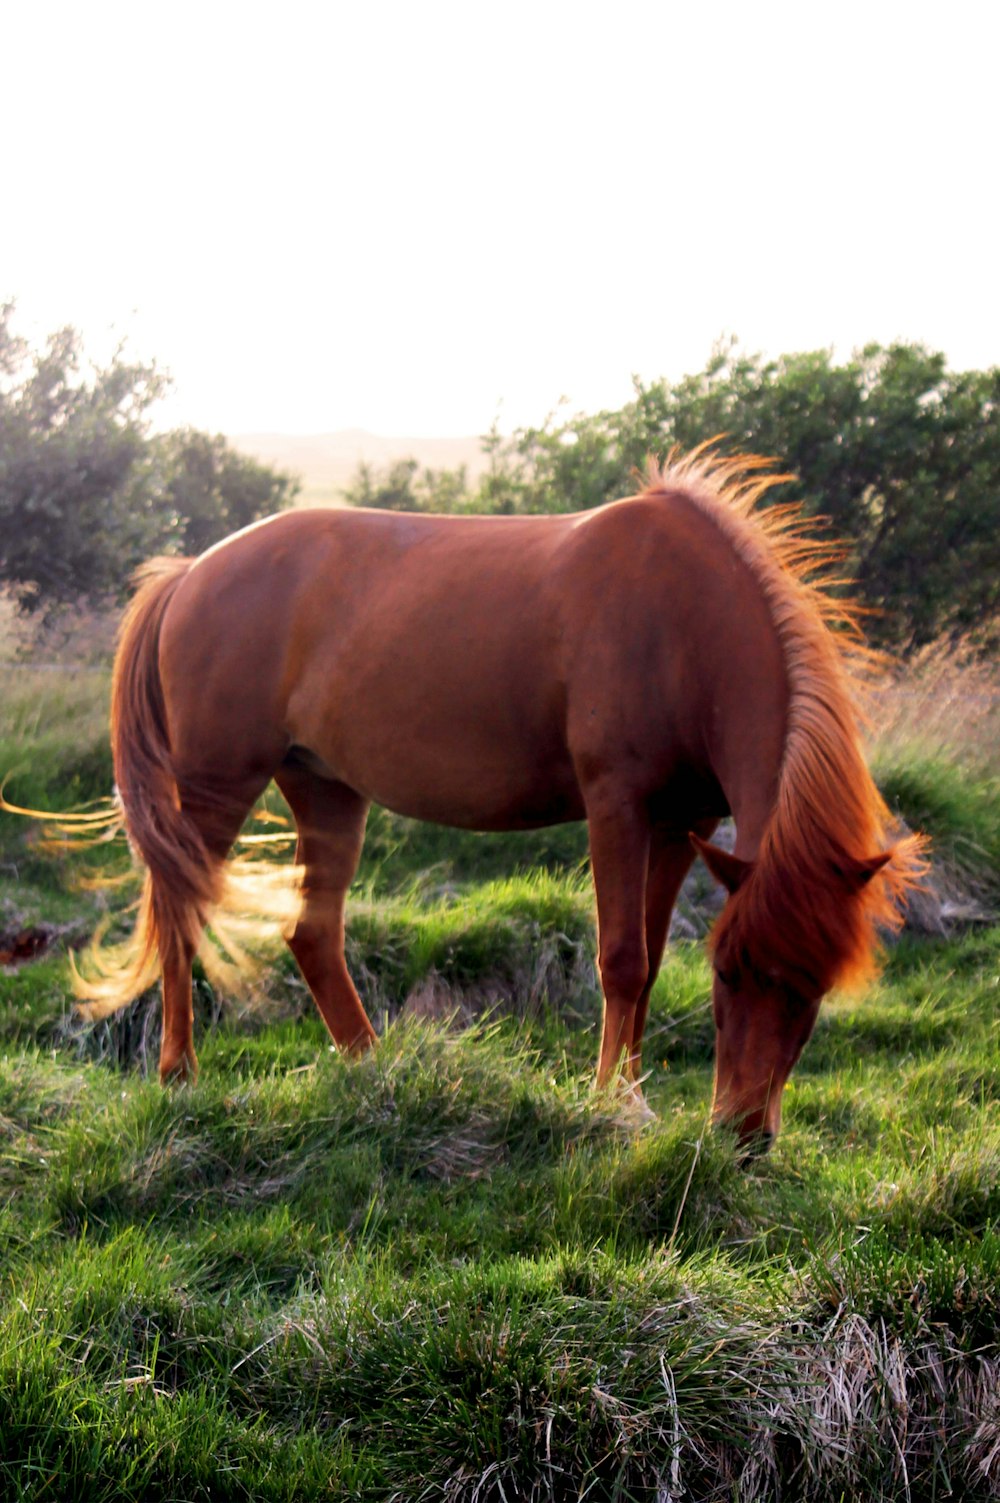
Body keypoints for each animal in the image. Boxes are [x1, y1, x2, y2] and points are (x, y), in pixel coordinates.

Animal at [62, 444, 926, 1148]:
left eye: (813, 985)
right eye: (730, 972)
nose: (744, 1133)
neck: (684, 627)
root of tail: (188, 573)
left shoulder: (686, 821)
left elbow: (647, 964)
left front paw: (634, 1099)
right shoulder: (617, 805)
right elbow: (622, 958)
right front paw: (610, 1103)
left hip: (325, 788)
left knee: (311, 933)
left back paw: (376, 1070)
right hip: (220, 784)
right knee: (181, 910)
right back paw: (180, 1073)